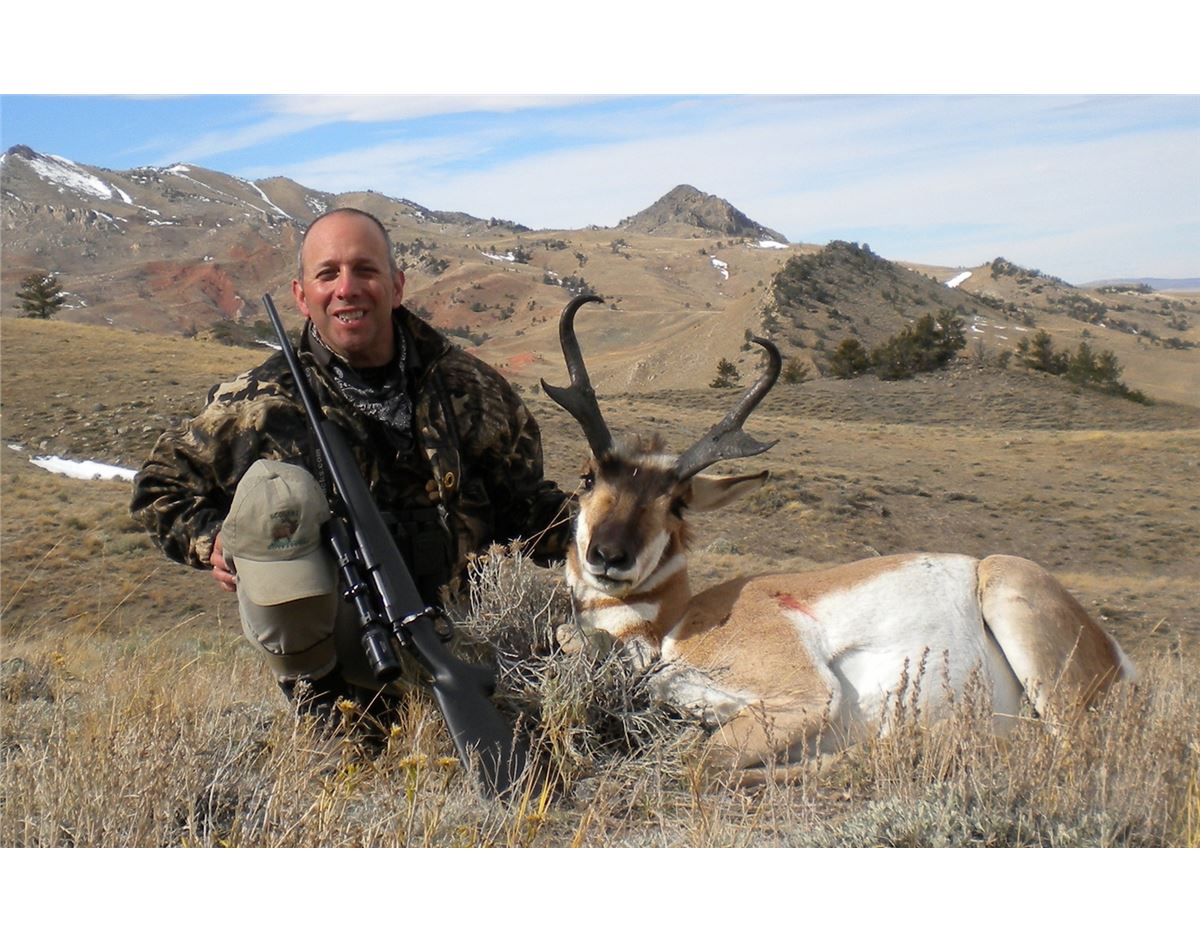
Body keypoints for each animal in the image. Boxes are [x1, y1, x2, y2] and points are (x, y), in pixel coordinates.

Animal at [542, 295, 1136, 781]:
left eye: (677, 503)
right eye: (587, 477)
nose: (608, 557)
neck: (673, 627)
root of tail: (1115, 657)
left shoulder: (807, 696)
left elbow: (694, 759)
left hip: (1017, 611)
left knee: (1064, 749)